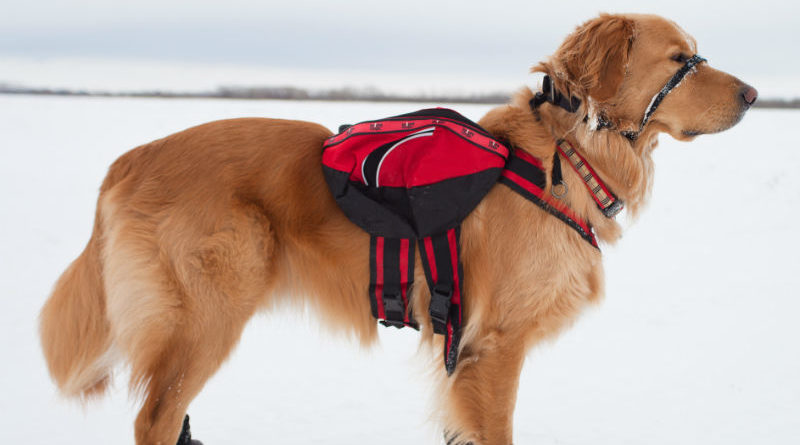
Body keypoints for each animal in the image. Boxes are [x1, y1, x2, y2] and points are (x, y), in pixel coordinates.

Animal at [39, 13, 756, 444]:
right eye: (680, 57)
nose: (753, 94)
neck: (564, 155)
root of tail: (131, 159)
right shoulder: (494, 346)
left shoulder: (461, 351)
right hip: (205, 317)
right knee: (155, 418)